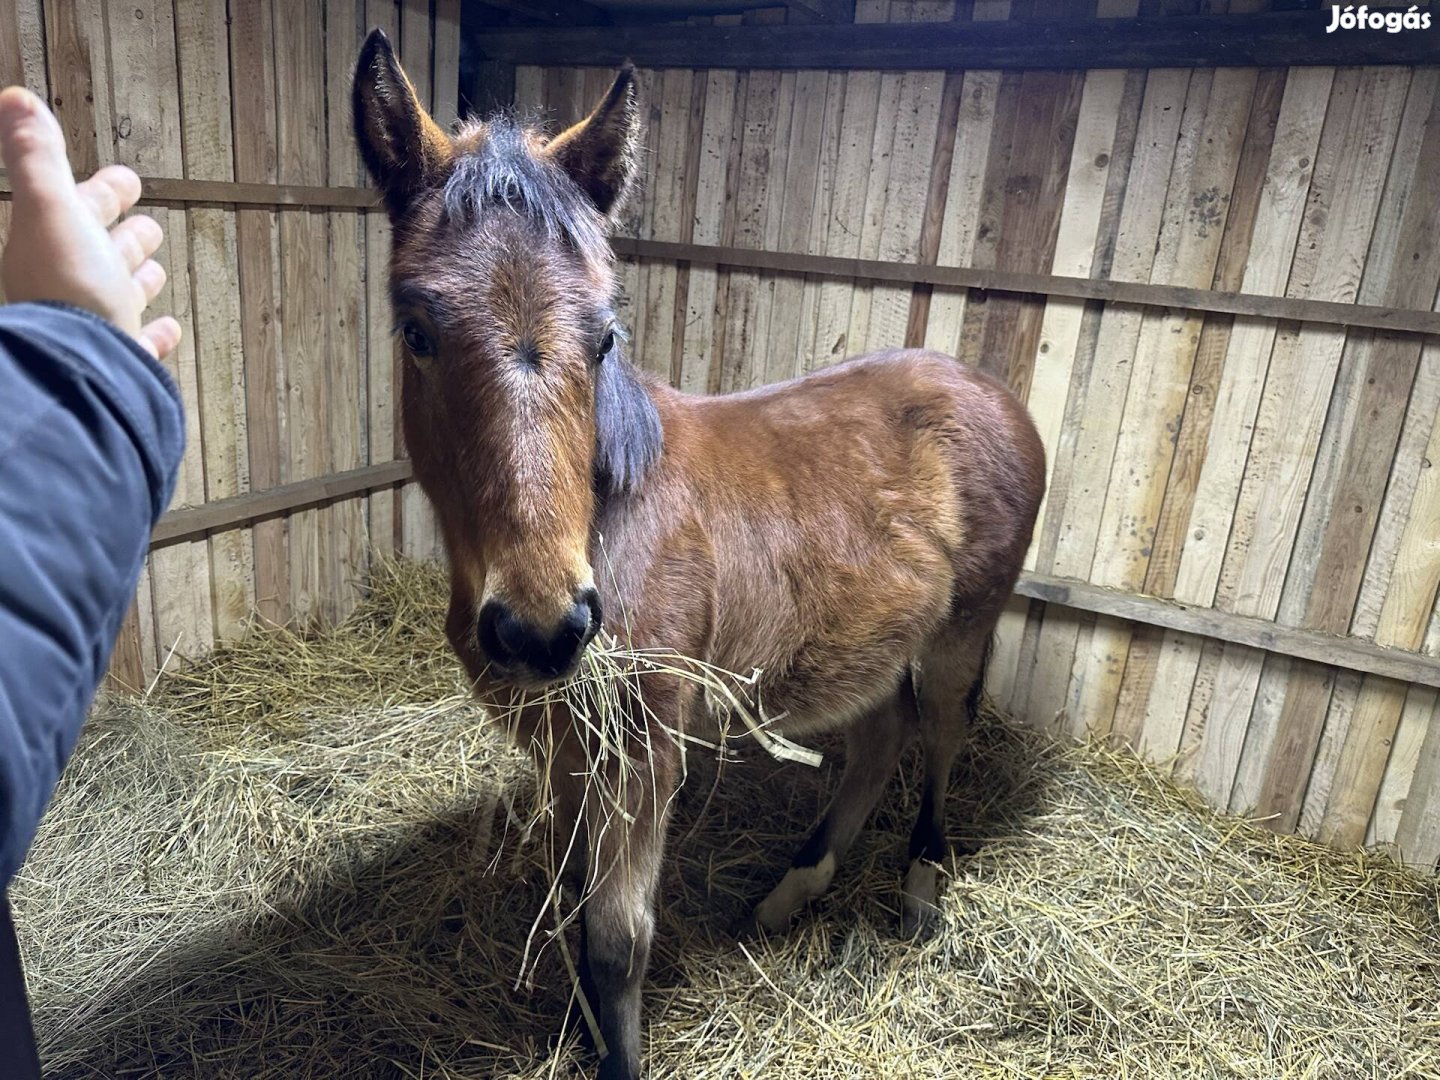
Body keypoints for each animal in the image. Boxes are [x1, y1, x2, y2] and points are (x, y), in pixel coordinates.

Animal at [351, 31, 1048, 1080]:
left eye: (604, 337)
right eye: (416, 328)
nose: (544, 627)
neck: (609, 521)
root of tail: (992, 390)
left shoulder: (643, 751)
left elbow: (617, 937)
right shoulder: (562, 748)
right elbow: (570, 907)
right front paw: (576, 1030)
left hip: (962, 630)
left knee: (940, 735)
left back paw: (921, 887)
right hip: (872, 639)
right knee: (879, 741)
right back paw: (789, 893)